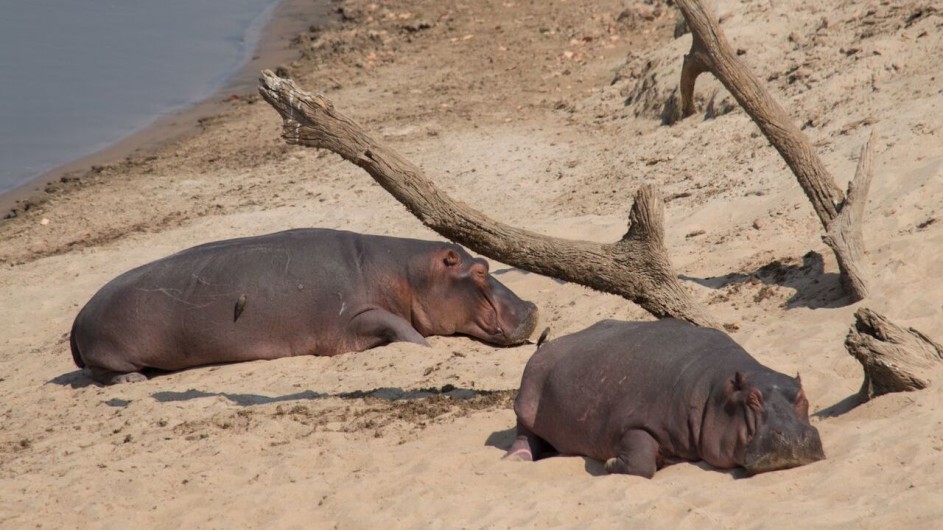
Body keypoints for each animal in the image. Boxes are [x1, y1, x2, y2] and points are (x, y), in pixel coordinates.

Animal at [70, 227, 540, 384]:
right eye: (480, 269)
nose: (533, 308)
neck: (407, 275)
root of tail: (75, 321)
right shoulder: (355, 318)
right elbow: (400, 328)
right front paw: (424, 348)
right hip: (107, 352)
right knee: (101, 372)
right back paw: (133, 381)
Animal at [506, 318, 824, 474]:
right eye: (752, 400)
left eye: (802, 396)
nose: (794, 436)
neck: (715, 390)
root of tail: (546, 347)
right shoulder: (634, 421)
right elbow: (641, 460)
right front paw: (610, 463)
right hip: (528, 403)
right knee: (524, 433)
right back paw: (517, 459)